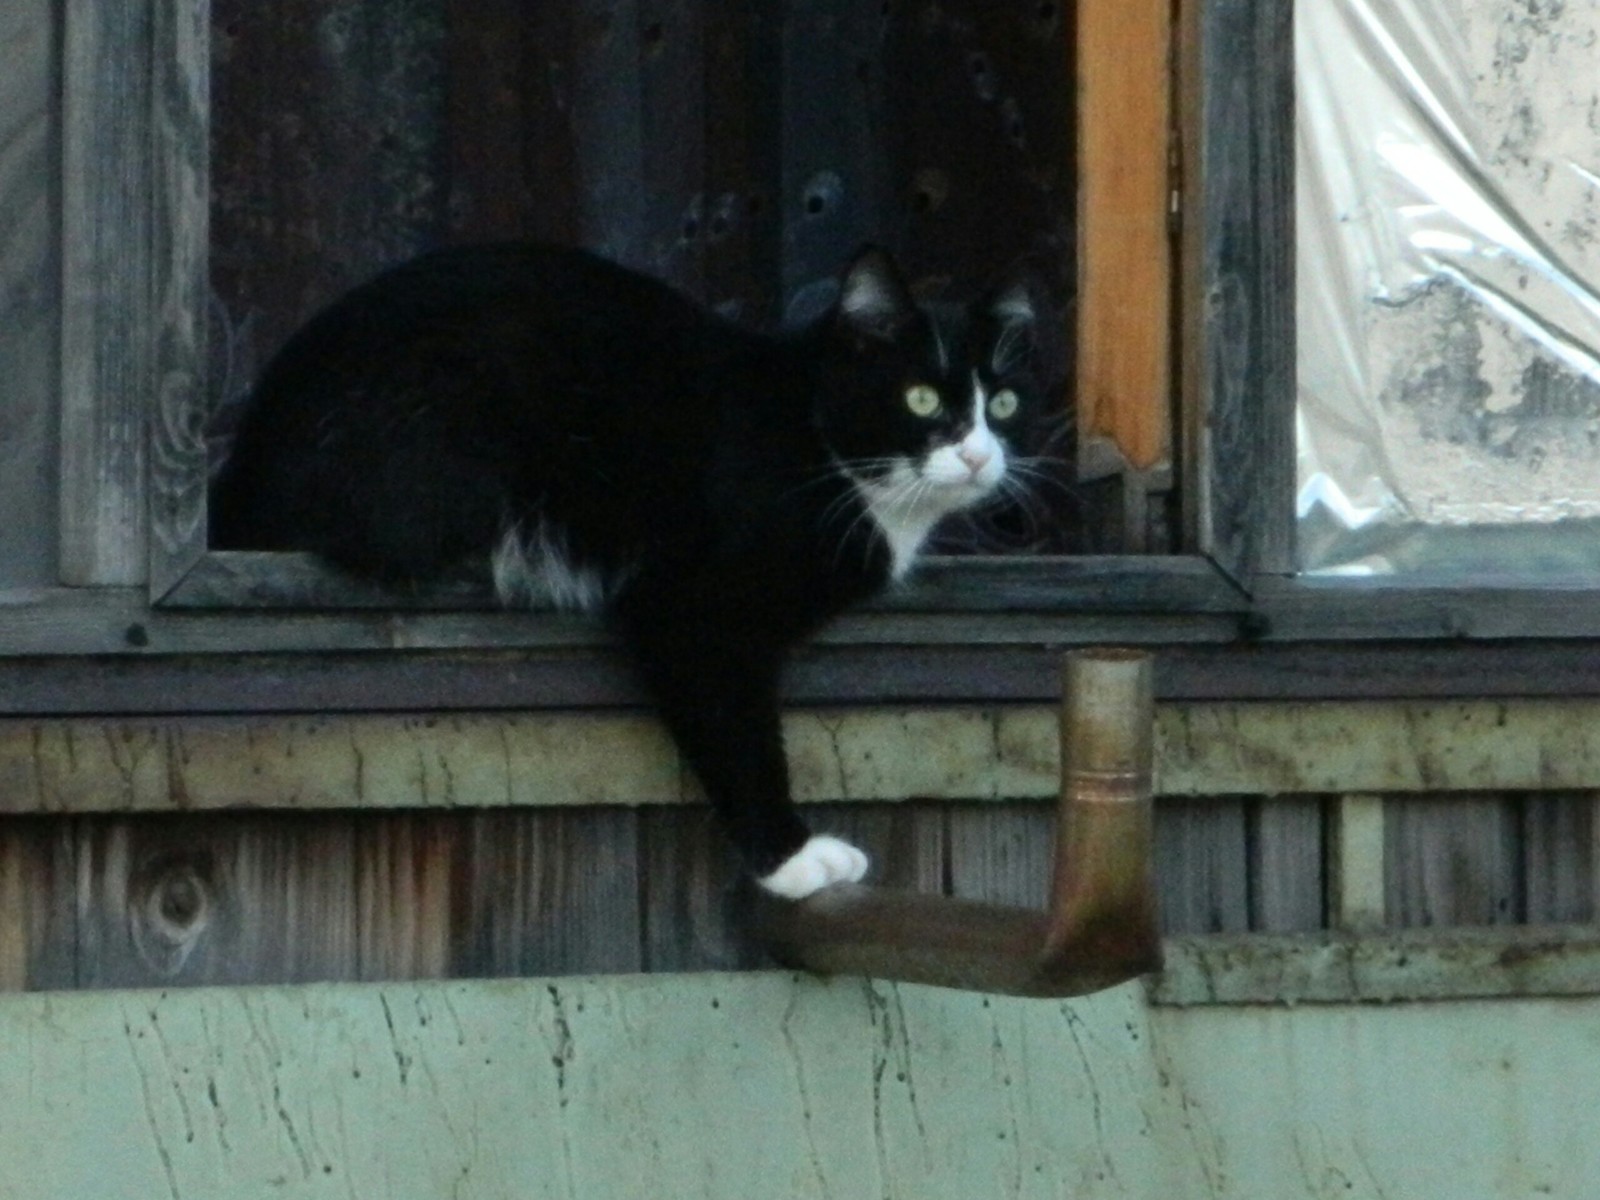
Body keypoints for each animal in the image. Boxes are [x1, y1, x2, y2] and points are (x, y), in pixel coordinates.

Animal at [209, 241, 1049, 902]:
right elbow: (737, 727)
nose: (980, 455)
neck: (818, 445)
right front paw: (793, 860)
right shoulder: (692, 605)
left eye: (1005, 403)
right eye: (920, 397)